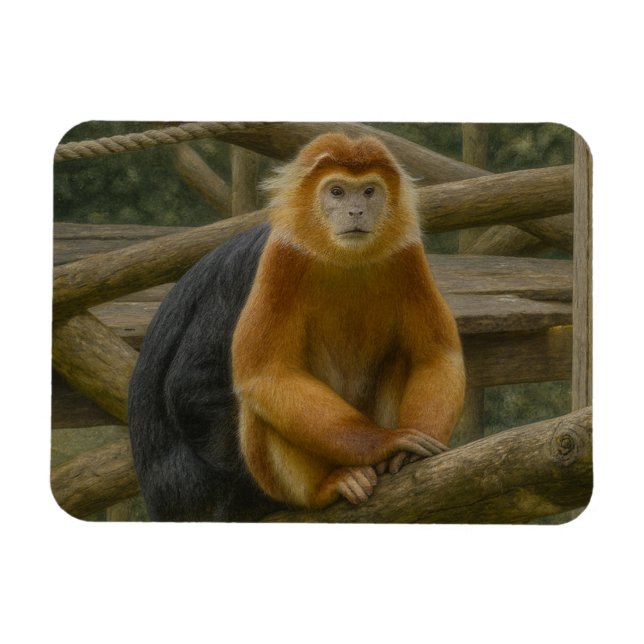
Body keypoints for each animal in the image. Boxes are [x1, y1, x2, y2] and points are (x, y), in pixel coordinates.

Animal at [128, 132, 465, 521]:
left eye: (368, 192)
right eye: (337, 192)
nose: (356, 211)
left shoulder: (405, 255)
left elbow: (436, 356)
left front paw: (405, 451)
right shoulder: (275, 261)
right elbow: (230, 380)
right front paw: (386, 443)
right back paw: (329, 485)